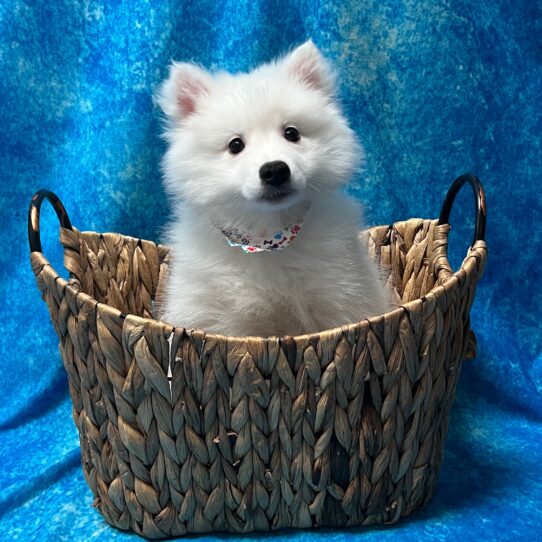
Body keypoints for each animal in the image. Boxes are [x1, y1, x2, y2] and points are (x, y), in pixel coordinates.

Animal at [155, 41, 394, 336]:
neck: (268, 235)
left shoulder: (342, 299)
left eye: (292, 133)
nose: (275, 170)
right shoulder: (214, 317)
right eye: (235, 145)